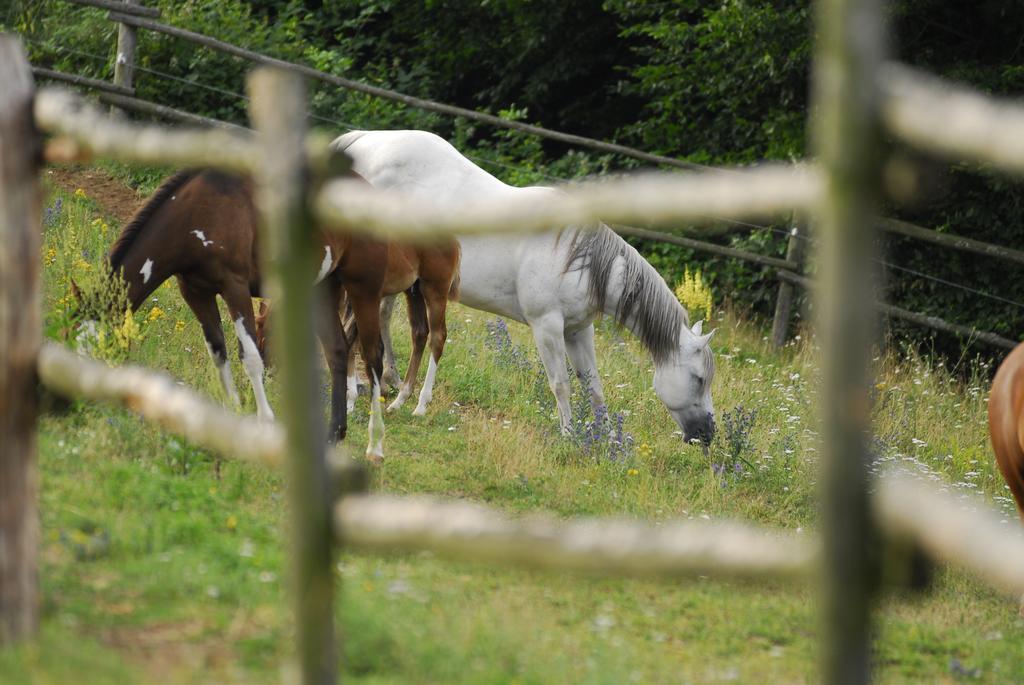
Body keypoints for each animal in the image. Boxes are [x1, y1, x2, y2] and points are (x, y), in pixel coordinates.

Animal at [82, 165, 387, 454]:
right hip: (323, 288)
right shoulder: (195, 291)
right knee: (337, 350)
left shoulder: (235, 287)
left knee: (373, 358)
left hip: (364, 291)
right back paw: (334, 434)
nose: (81, 409)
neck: (195, 215)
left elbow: (251, 357)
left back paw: (375, 446)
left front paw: (265, 423)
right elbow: (218, 352)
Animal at [331, 131, 716, 446]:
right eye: (699, 379)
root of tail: (361, 140)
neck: (579, 256)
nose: (707, 434)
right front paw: (568, 435)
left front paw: (607, 439)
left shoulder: (579, 331)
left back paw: (389, 384)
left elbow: (594, 386)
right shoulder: (547, 327)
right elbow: (560, 383)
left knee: (383, 319)